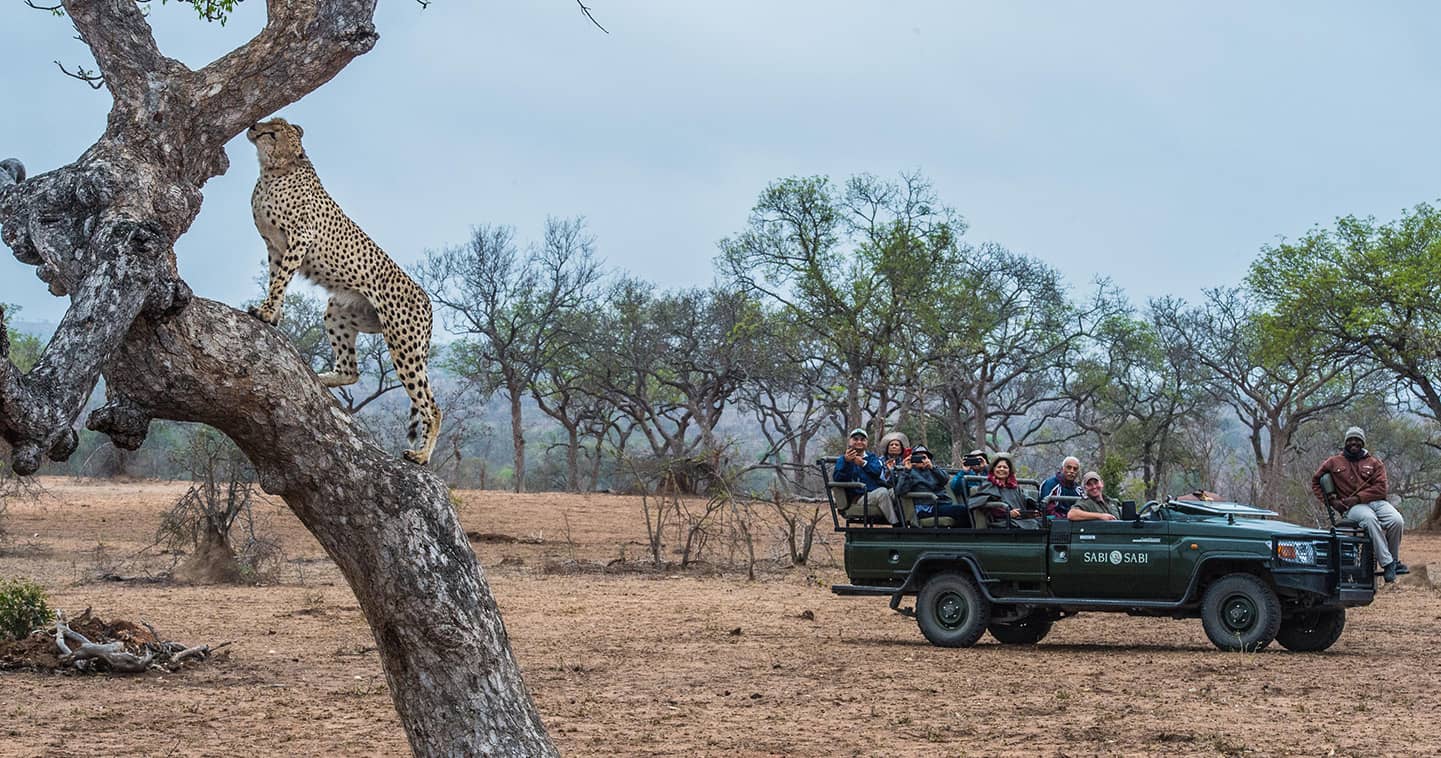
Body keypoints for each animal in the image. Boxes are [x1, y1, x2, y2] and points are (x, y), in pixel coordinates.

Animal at [246, 119, 438, 466]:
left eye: (271, 132)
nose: (253, 126)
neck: (273, 170)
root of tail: (427, 299)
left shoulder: (300, 238)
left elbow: (280, 280)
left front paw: (266, 312)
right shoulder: (274, 246)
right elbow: (275, 280)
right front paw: (274, 315)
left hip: (404, 344)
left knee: (431, 406)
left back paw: (421, 456)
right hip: (339, 310)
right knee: (351, 370)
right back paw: (320, 377)